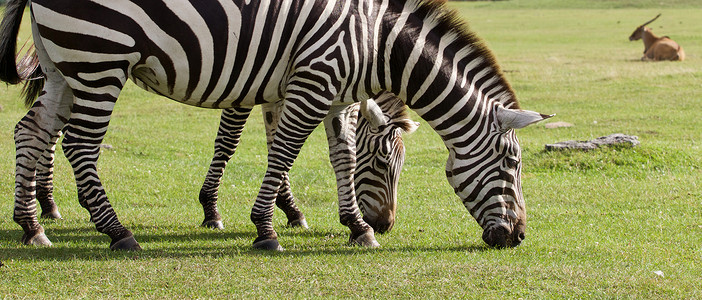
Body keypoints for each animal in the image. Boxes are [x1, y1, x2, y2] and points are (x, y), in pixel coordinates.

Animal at [0, 0, 552, 251]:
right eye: (511, 163)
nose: (518, 238)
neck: (374, 43)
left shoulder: (327, 91)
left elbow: (338, 154)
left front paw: (353, 227)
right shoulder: (309, 80)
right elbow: (282, 149)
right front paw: (264, 227)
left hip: (62, 64)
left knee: (32, 131)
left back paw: (32, 225)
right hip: (100, 58)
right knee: (79, 144)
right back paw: (116, 232)